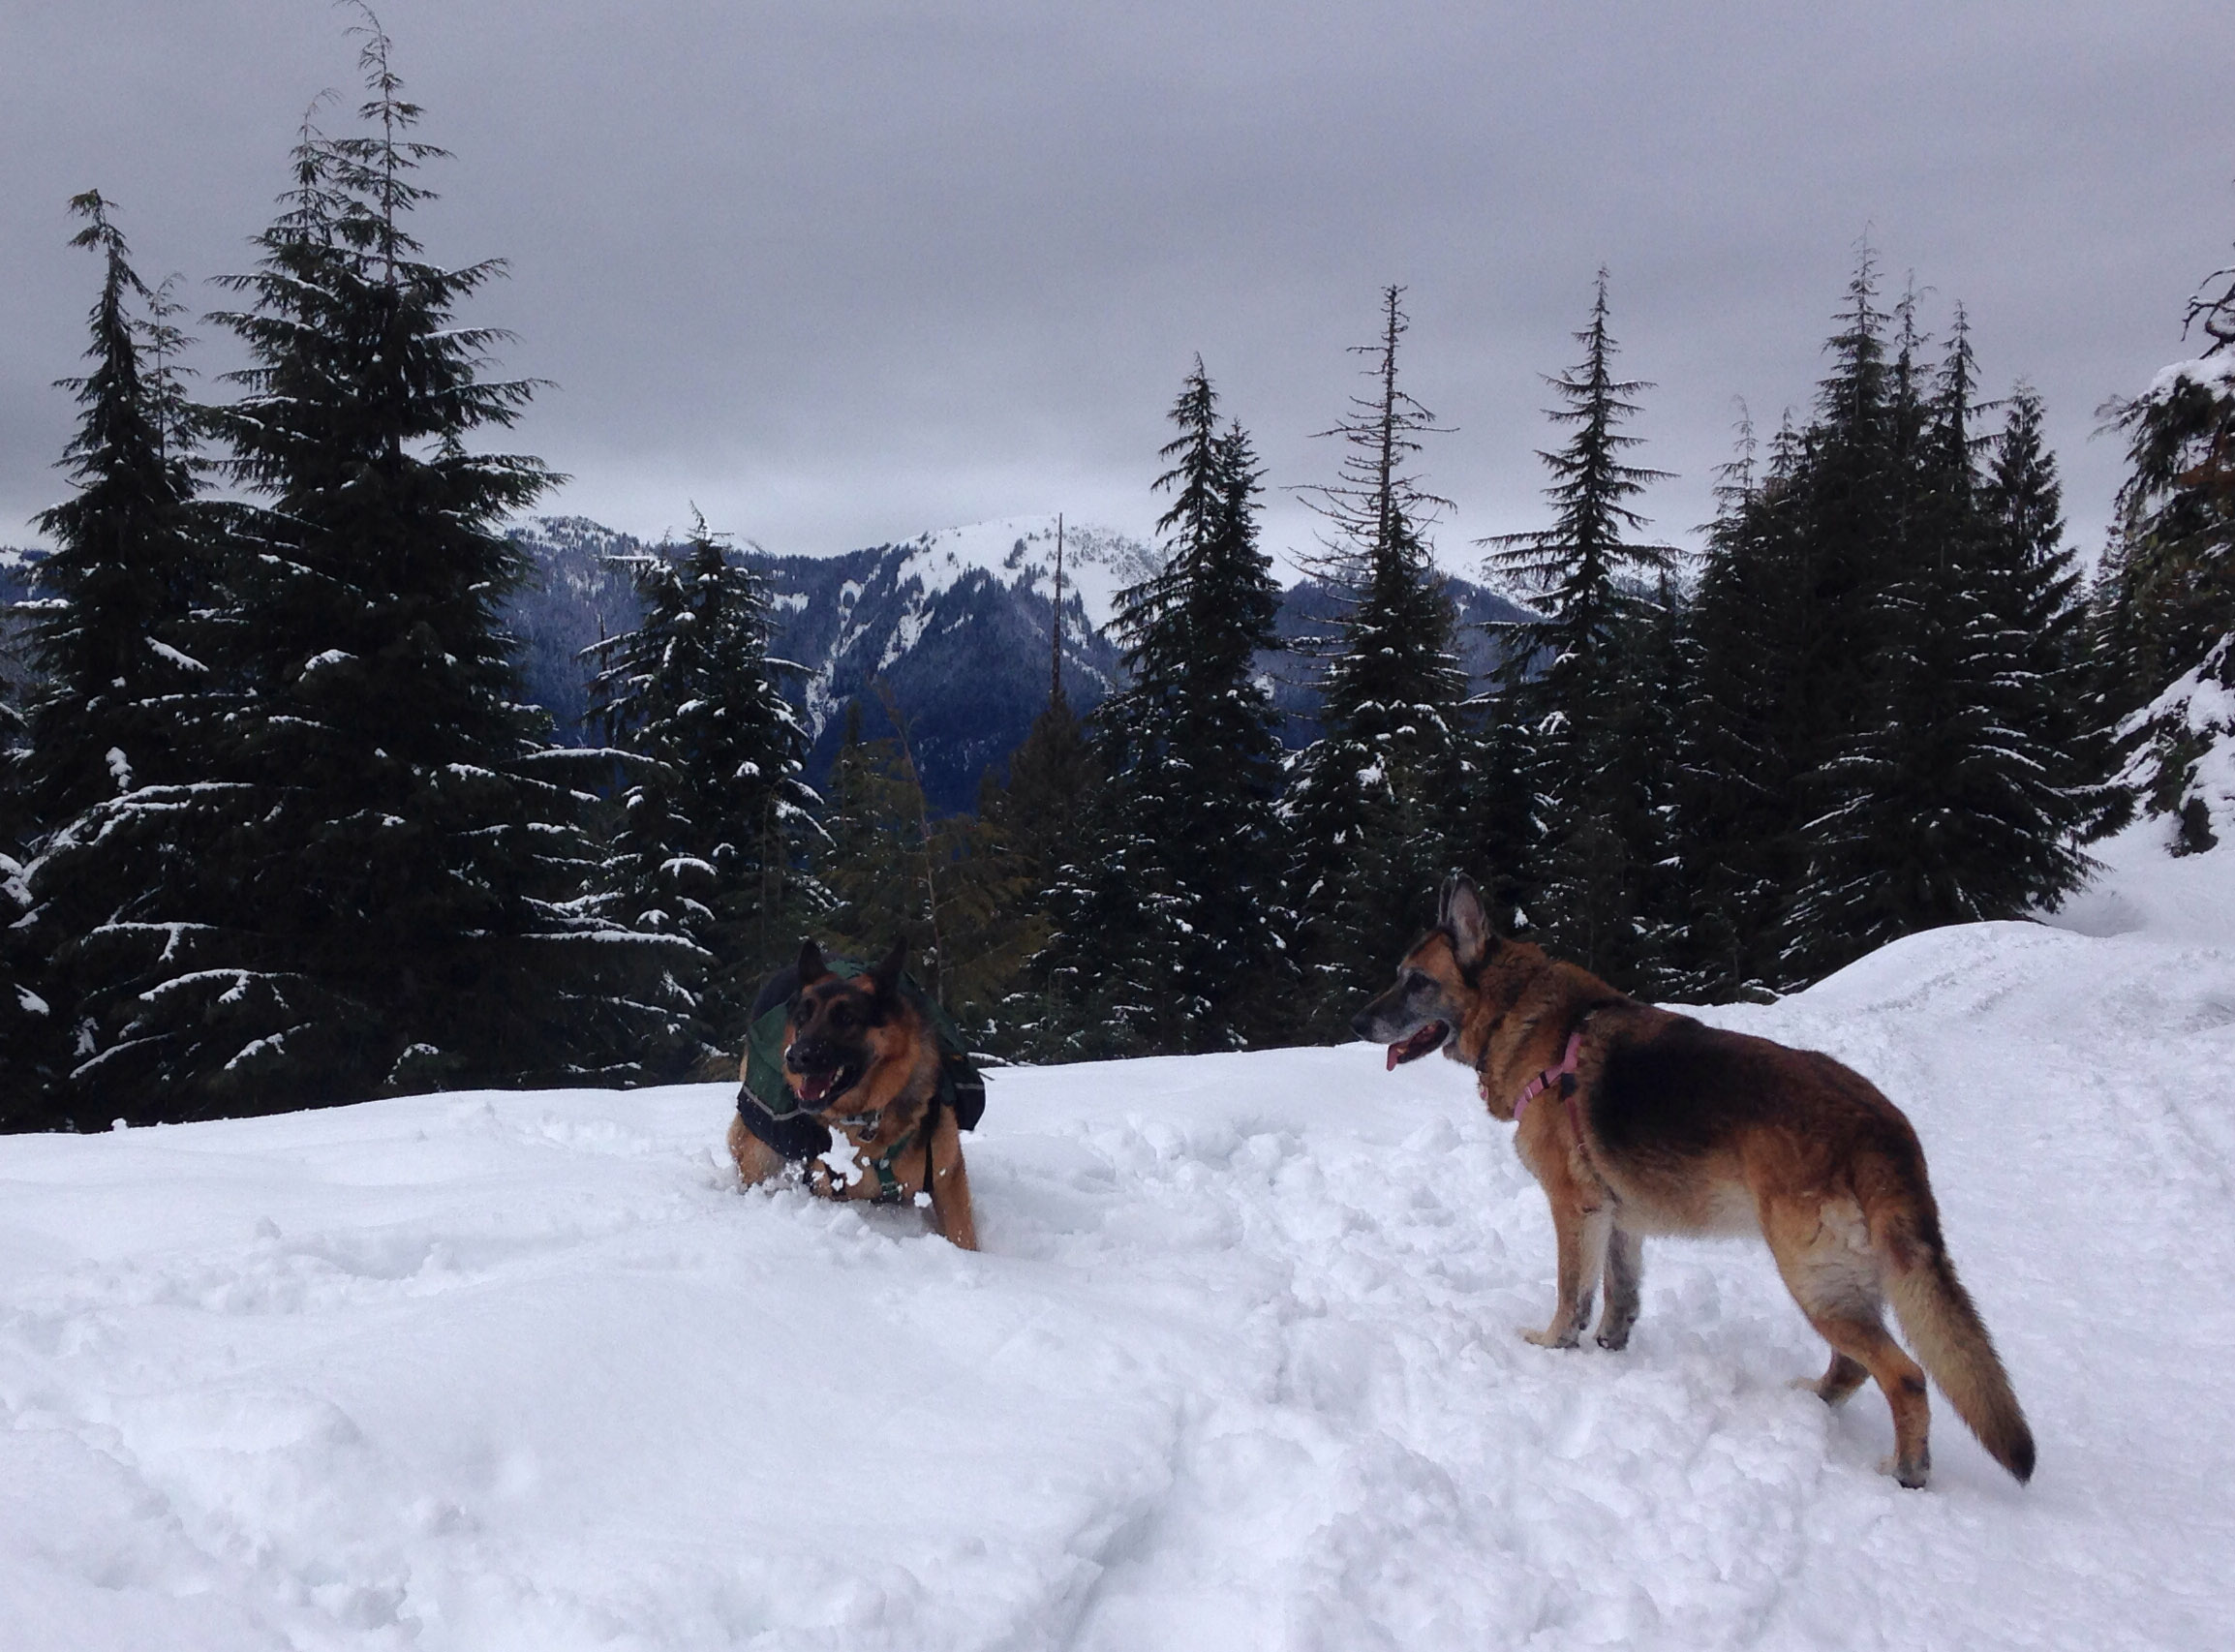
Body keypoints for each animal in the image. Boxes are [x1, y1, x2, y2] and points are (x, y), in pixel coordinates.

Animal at [728, 938, 978, 1250]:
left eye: (847, 1018)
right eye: (802, 1019)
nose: (794, 1057)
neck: (868, 1118)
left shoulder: (948, 1179)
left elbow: (963, 1236)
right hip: (759, 1153)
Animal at [1352, 873, 2033, 1489]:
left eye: (1417, 982)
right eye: (1399, 975)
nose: (1358, 1022)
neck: (1515, 1011)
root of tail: (1882, 1128)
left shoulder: (1574, 1209)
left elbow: (1571, 1293)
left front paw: (1551, 1346)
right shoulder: (1617, 1218)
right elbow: (1619, 1295)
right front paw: (1609, 1349)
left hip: (1811, 1278)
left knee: (1904, 1374)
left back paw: (1907, 1470)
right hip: (1839, 1280)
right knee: (1856, 1364)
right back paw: (1814, 1401)